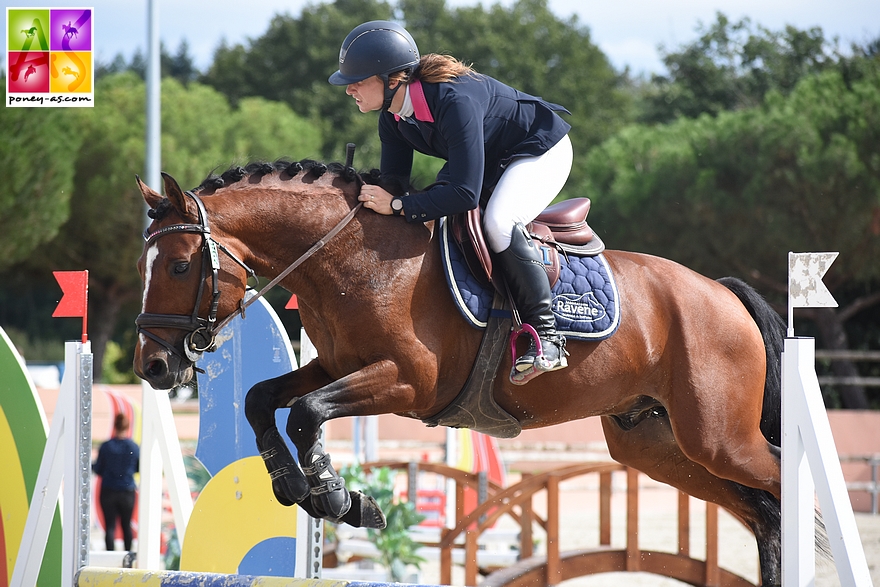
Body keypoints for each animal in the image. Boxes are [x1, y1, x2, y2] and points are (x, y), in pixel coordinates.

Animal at [136, 158, 784, 584]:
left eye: (178, 265)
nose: (153, 366)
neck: (351, 258)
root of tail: (722, 292)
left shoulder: (407, 381)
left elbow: (305, 412)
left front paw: (338, 498)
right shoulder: (338, 364)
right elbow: (262, 400)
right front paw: (301, 489)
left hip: (719, 438)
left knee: (781, 484)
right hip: (655, 444)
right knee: (763, 511)